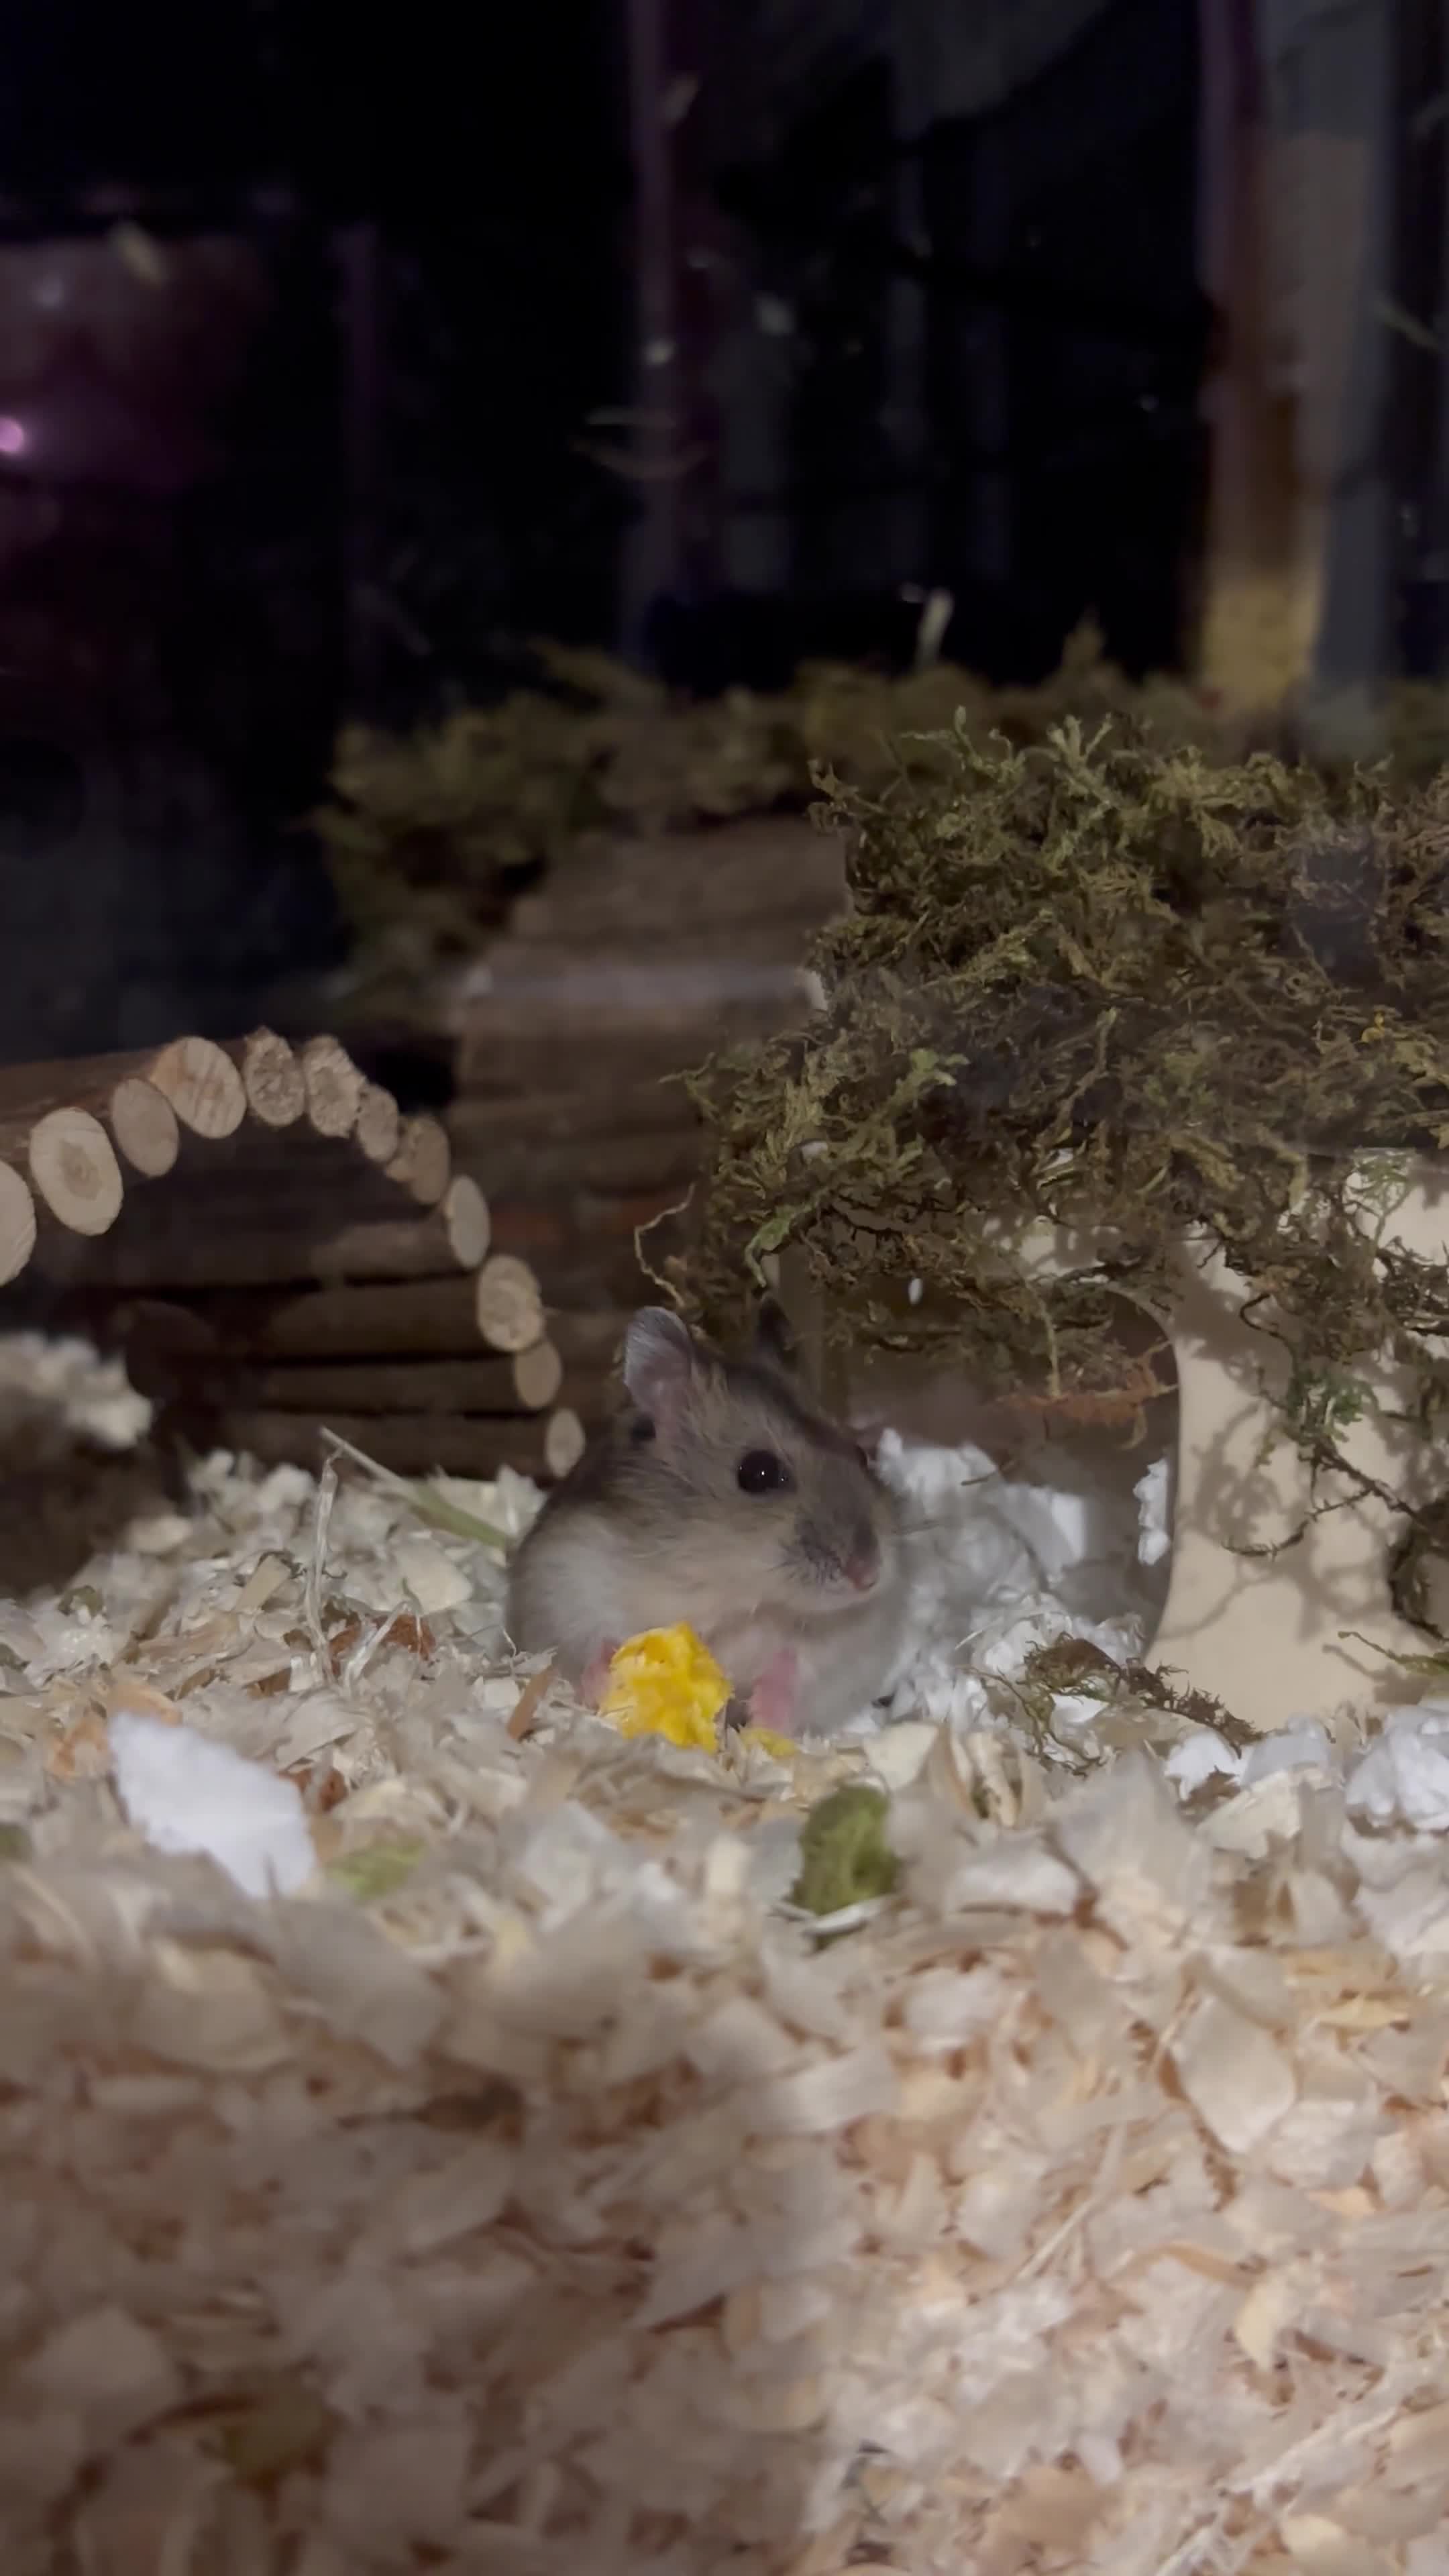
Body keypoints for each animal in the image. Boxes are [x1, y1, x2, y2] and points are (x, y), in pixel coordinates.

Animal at [505, 1301, 911, 1738]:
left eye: (861, 1455)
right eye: (759, 1473)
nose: (868, 1575)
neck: (723, 1587)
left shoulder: (851, 1643)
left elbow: (798, 1664)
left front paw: (764, 1720)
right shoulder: (566, 1579)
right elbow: (586, 1642)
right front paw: (608, 1683)